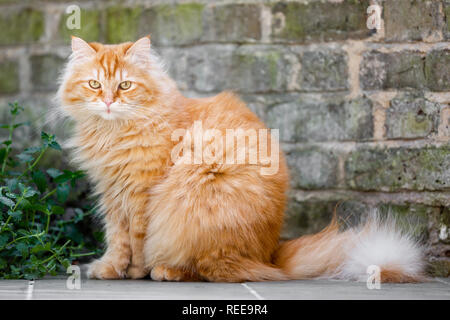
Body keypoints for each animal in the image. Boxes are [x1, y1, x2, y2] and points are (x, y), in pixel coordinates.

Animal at [56, 35, 426, 282]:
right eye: (94, 85)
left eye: (125, 86)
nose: (107, 102)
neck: (115, 133)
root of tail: (270, 256)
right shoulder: (113, 194)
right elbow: (116, 239)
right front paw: (109, 268)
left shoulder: (141, 195)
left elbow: (136, 241)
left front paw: (134, 272)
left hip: (198, 191)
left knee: (210, 269)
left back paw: (166, 271)